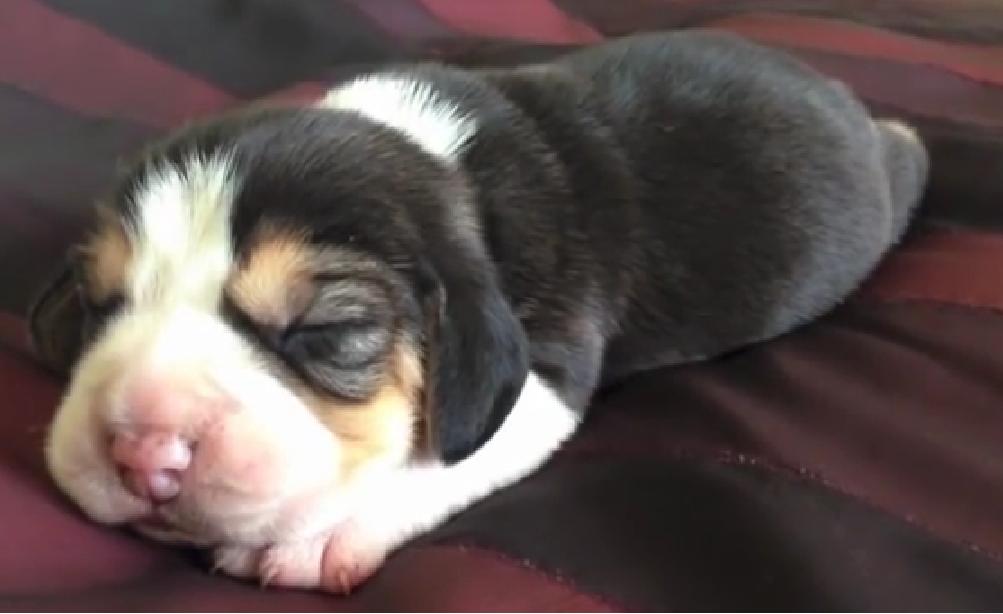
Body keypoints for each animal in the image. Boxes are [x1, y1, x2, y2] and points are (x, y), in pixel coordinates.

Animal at [29, 31, 922, 593]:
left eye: (326, 332)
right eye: (100, 303)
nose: (143, 454)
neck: (432, 158)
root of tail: (844, 97)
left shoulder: (542, 363)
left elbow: (449, 453)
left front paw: (318, 535)